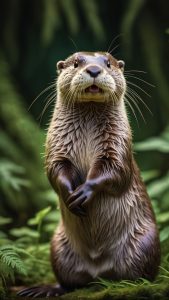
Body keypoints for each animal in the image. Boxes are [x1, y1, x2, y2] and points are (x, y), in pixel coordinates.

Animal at [17, 52, 160, 298]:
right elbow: (54, 171)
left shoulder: (117, 147)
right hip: (57, 244)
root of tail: (98, 272)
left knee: (141, 276)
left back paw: (132, 285)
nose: (94, 70)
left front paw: (85, 192)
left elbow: (115, 172)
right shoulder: (57, 148)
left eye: (109, 63)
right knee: (68, 282)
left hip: (146, 241)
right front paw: (69, 194)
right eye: (76, 63)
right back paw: (46, 289)